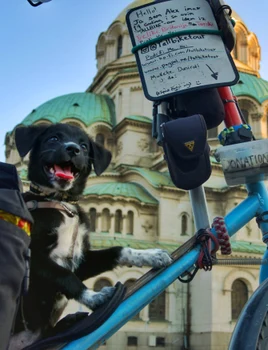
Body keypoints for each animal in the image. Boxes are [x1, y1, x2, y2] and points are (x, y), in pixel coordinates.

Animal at [11, 122, 172, 348]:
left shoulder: (80, 261)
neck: (62, 203)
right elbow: (65, 276)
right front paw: (95, 297)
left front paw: (151, 255)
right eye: (53, 138)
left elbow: (118, 250)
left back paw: (70, 321)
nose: (73, 149)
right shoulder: (35, 260)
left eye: (84, 146)